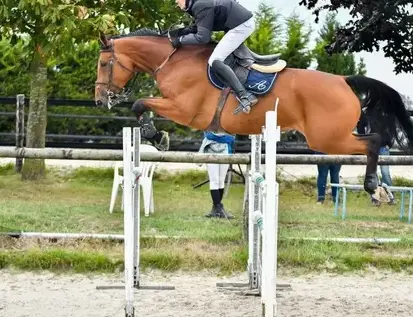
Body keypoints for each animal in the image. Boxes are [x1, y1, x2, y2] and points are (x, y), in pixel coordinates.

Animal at [94, 27, 413, 200]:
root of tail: (343, 80)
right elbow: (141, 105)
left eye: (103, 63)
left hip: (327, 139)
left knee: (373, 142)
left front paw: (157, 136)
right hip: (329, 138)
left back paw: (373, 187)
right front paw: (156, 135)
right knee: (373, 142)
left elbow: (139, 104)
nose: (99, 100)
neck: (171, 60)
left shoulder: (184, 110)